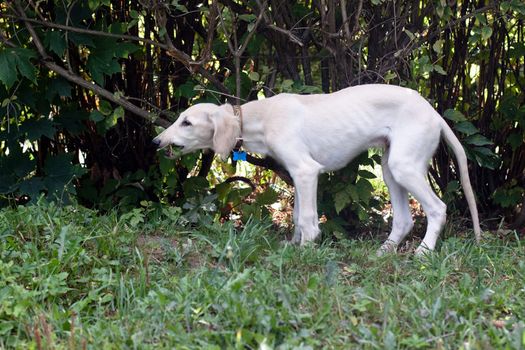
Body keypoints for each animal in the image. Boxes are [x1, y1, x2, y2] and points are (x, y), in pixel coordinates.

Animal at [151, 85, 478, 254]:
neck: (262, 116)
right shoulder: (297, 176)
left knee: (437, 208)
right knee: (404, 219)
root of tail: (433, 112)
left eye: (187, 122)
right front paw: (293, 245)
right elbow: (297, 216)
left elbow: (308, 219)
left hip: (405, 166)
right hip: (391, 168)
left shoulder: (306, 171)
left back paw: (424, 251)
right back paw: (384, 251)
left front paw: (306, 250)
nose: (156, 141)